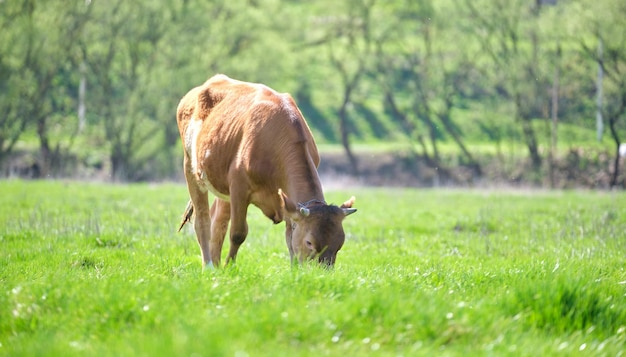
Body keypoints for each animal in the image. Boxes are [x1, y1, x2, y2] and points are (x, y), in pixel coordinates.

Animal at [176, 74, 356, 268]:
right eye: (309, 242)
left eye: (340, 243)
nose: (321, 272)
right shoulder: (239, 187)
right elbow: (238, 233)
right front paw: (229, 267)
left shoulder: (286, 199)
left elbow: (290, 237)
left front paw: (294, 271)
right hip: (191, 167)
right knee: (203, 221)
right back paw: (209, 266)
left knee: (218, 221)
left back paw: (215, 266)